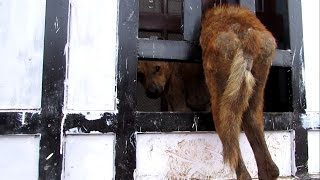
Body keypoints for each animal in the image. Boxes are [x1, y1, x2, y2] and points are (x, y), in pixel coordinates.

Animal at [138, 4, 280, 179]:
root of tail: (244, 32)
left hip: (220, 105)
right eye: (140, 75)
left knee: (240, 166)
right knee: (268, 164)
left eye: (157, 68)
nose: (152, 93)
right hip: (253, 96)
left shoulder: (179, 102)